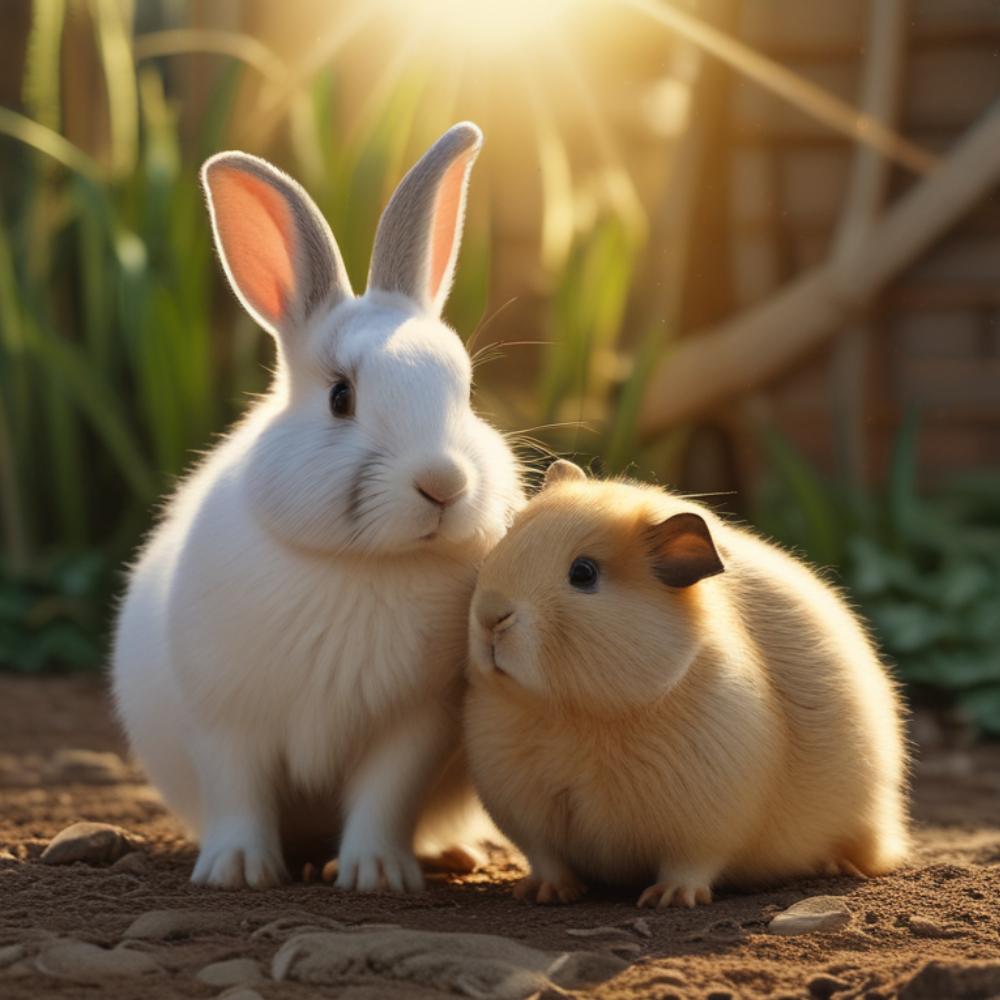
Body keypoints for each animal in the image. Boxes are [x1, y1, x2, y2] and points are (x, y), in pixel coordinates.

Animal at [112, 122, 524, 891]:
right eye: (341, 397)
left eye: (465, 390)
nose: (444, 483)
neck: (359, 565)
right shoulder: (225, 722)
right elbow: (239, 794)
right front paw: (238, 869)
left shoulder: (412, 728)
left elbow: (384, 799)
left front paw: (379, 874)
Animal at [464, 459, 909, 908]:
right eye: (510, 536)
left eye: (583, 573)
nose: (490, 616)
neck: (575, 718)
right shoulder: (527, 816)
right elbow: (547, 859)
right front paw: (545, 893)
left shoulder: (705, 826)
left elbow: (691, 864)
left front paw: (670, 898)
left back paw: (837, 865)